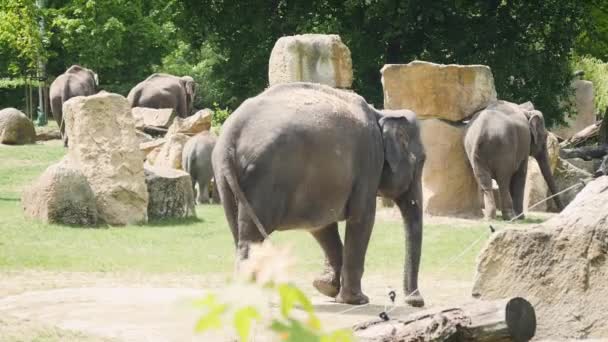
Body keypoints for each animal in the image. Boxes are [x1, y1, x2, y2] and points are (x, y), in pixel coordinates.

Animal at [211, 81, 426, 306]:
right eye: (422, 160)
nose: (415, 300)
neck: (382, 113)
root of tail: (229, 137)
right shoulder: (369, 162)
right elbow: (362, 218)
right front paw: (357, 300)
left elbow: (321, 227)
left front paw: (325, 288)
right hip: (263, 175)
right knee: (251, 240)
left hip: (225, 177)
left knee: (240, 235)